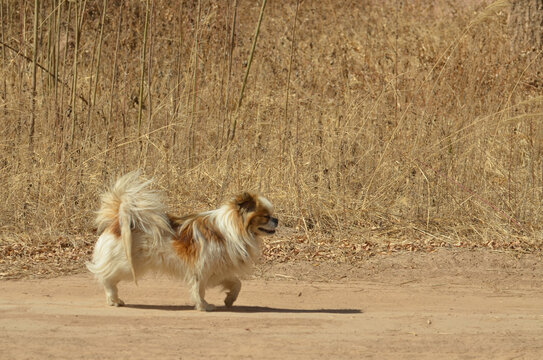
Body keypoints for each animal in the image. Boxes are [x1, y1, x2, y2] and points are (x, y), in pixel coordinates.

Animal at [88, 172, 280, 310]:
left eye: (271, 215)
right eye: (265, 216)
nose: (276, 219)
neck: (234, 228)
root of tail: (118, 218)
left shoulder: (218, 270)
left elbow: (237, 283)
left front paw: (229, 299)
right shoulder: (201, 268)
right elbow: (199, 290)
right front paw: (204, 306)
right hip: (127, 265)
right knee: (106, 278)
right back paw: (113, 299)